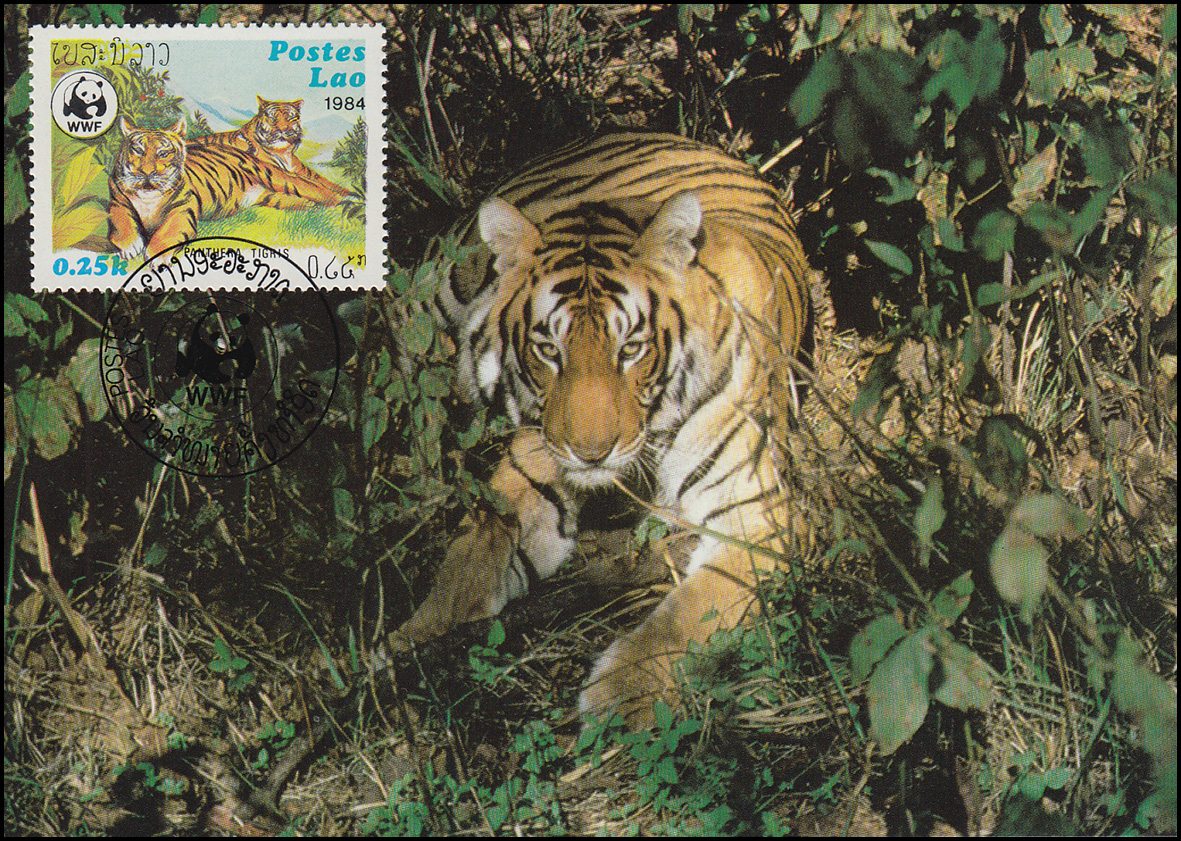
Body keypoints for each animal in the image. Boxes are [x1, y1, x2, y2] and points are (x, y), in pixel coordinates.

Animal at [108, 115, 348, 260]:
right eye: (138, 150)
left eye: (163, 153)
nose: (147, 173)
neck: (149, 196)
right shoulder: (117, 203)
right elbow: (121, 223)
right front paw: (130, 245)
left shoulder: (182, 212)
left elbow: (166, 234)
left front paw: (156, 257)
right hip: (274, 197)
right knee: (304, 202)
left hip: (277, 177)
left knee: (317, 189)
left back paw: (347, 201)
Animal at [189, 96, 352, 202]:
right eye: (273, 118)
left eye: (290, 118)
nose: (282, 130)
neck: (284, 152)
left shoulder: (304, 172)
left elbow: (329, 183)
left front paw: (351, 193)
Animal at [389, 131, 811, 729]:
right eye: (549, 349)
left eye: (630, 348)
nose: (590, 454)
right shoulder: (532, 467)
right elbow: (471, 559)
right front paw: (414, 643)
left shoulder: (758, 516)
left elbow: (691, 613)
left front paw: (620, 698)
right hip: (453, 273)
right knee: (391, 317)